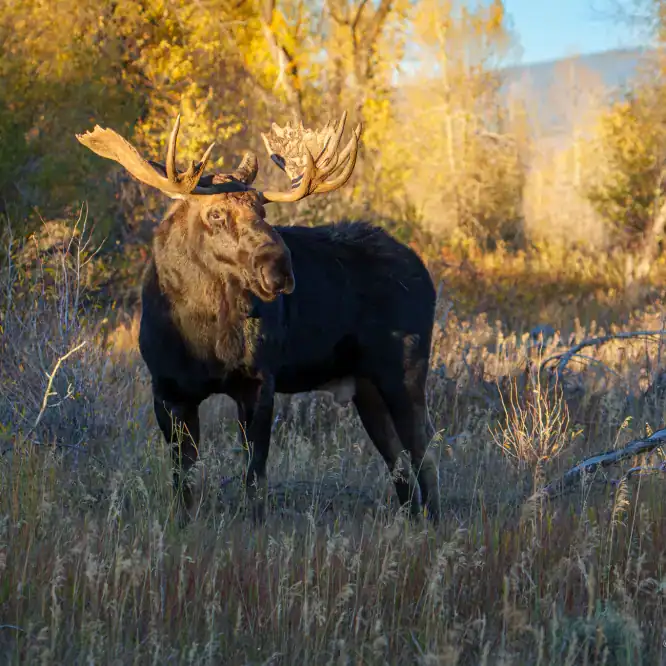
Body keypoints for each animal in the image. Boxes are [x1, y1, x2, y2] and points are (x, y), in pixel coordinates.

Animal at [76, 109, 441, 524]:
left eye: (263, 209)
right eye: (216, 213)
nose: (279, 267)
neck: (202, 332)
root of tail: (423, 271)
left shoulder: (259, 382)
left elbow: (254, 477)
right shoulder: (167, 389)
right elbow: (183, 480)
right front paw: (182, 526)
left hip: (403, 373)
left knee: (425, 452)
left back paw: (432, 523)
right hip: (366, 387)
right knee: (400, 462)